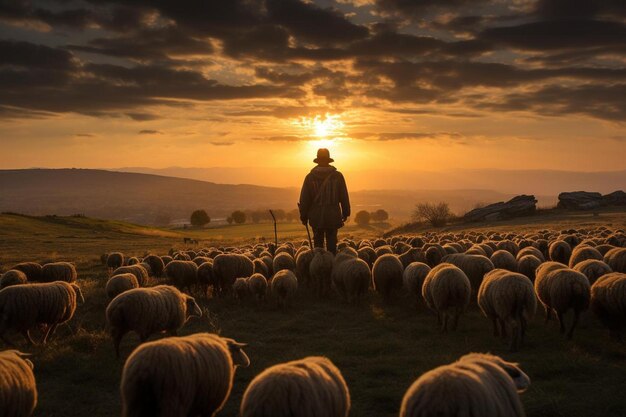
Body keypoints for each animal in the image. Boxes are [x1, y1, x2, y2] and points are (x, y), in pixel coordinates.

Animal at [119, 334, 249, 416]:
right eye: (238, 350)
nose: (248, 362)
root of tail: (146, 367)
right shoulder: (209, 404)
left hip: (135, 402)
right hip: (172, 400)